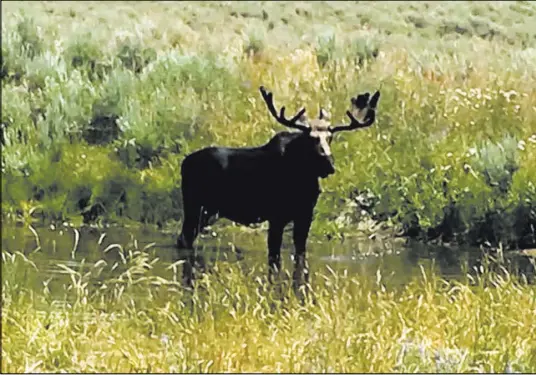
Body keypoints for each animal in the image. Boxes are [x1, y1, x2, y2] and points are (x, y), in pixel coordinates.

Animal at [178, 87, 378, 288]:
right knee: (184, 239)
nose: (328, 164)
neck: (303, 180)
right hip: (195, 208)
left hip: (207, 213)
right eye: (310, 138)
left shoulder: (305, 214)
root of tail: (184, 164)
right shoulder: (276, 216)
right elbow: (274, 258)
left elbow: (300, 255)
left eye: (330, 138)